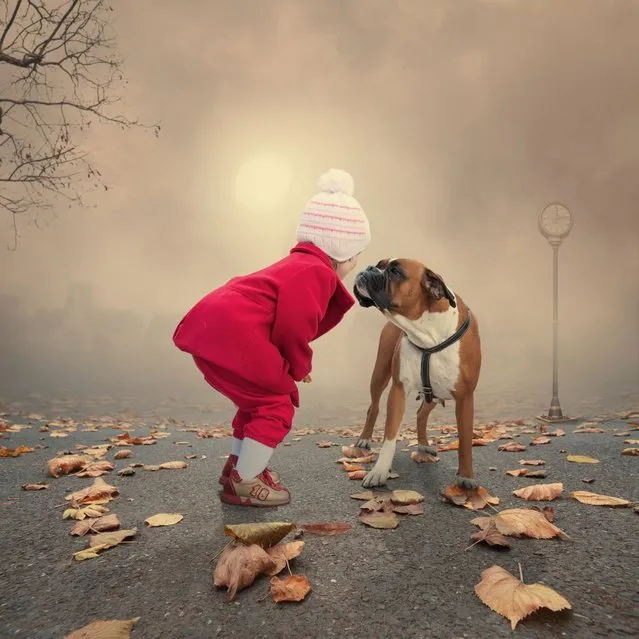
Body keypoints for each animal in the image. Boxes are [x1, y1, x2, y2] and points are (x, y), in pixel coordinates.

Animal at [352, 260, 482, 490]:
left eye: (395, 271)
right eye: (380, 264)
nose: (369, 267)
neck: (427, 332)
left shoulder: (465, 398)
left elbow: (466, 440)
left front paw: (466, 476)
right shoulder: (398, 390)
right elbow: (390, 436)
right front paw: (379, 471)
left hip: (434, 392)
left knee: (422, 414)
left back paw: (423, 445)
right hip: (380, 374)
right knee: (373, 407)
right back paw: (365, 439)